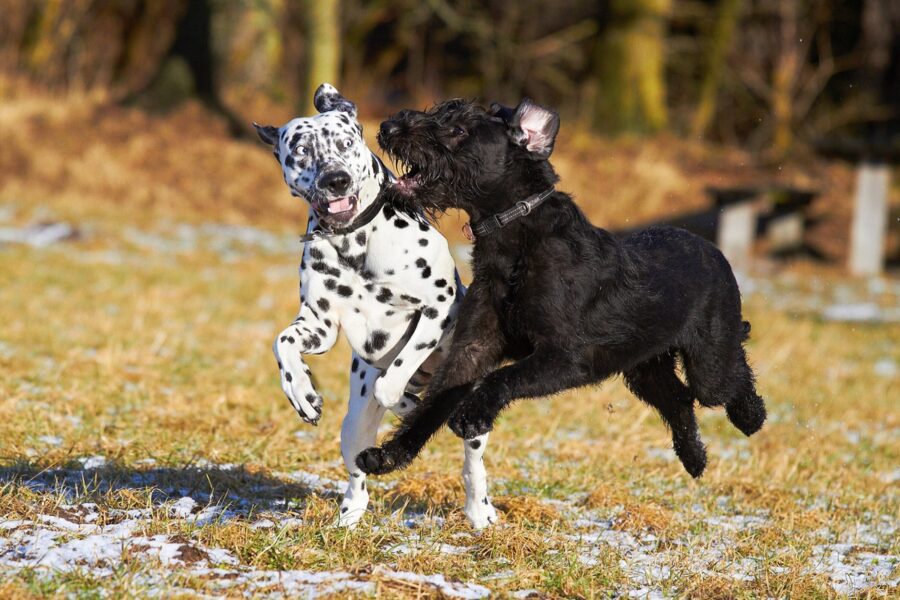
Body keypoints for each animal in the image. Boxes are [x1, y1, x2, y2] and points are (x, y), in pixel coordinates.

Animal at [253, 85, 500, 528]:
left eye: (345, 143)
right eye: (301, 150)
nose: (335, 180)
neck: (355, 243)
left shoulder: (437, 308)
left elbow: (393, 379)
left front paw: (406, 401)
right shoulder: (320, 326)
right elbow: (283, 342)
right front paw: (301, 392)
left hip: (471, 413)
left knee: (473, 459)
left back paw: (478, 509)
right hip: (353, 427)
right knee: (358, 469)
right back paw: (350, 514)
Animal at [356, 101, 764, 480]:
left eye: (458, 129)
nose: (388, 127)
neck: (518, 238)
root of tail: (715, 251)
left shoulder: (568, 356)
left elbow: (504, 377)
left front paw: (472, 415)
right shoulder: (473, 348)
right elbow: (432, 406)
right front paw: (389, 455)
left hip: (708, 362)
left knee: (731, 374)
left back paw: (750, 416)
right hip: (643, 367)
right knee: (678, 399)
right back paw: (694, 459)